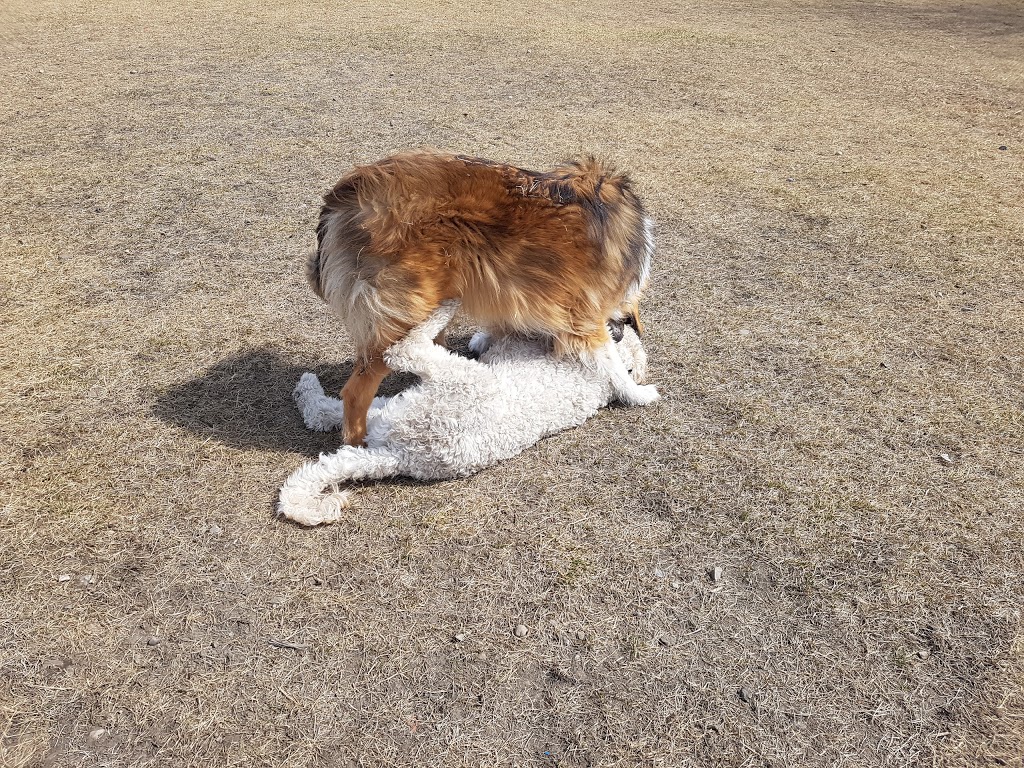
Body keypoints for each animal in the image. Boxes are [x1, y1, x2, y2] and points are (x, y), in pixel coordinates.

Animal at [276, 303, 655, 528]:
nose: (619, 325)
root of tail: (400, 456)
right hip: (392, 408)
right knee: (327, 414)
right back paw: (307, 390)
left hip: (448, 380)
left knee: (403, 351)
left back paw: (445, 307)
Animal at [307, 149, 655, 444]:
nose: (621, 331)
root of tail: (346, 194)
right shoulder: (584, 319)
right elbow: (612, 366)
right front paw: (639, 393)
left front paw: (483, 339)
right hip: (402, 314)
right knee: (356, 391)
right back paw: (358, 445)